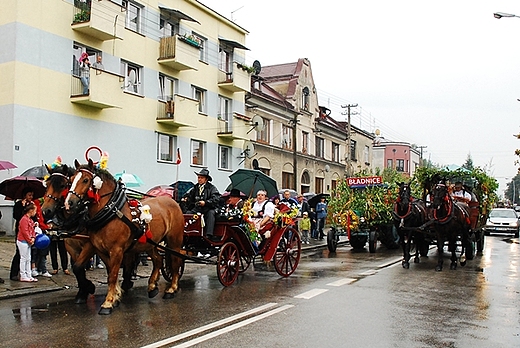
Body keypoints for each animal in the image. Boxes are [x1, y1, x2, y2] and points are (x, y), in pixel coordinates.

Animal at [63, 160, 185, 316]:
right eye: (71, 180)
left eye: (85, 180)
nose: (69, 203)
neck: (111, 211)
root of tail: (174, 202)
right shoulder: (101, 250)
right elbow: (110, 273)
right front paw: (115, 297)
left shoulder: (116, 250)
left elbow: (113, 275)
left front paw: (108, 303)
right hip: (149, 243)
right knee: (158, 260)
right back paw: (152, 286)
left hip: (174, 241)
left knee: (176, 261)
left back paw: (172, 289)